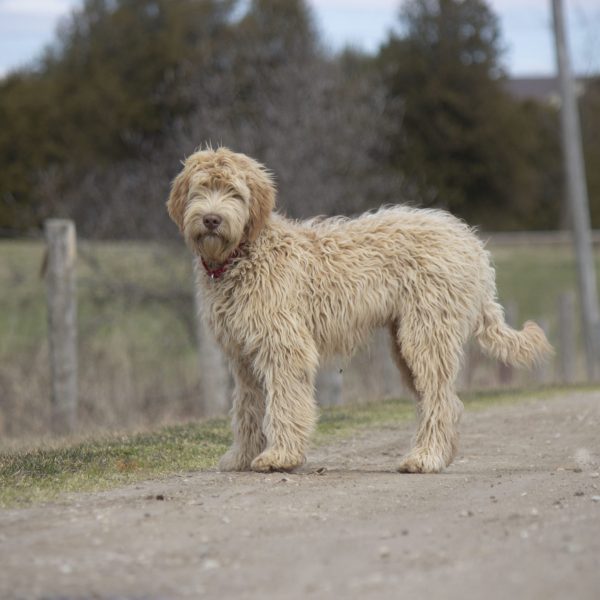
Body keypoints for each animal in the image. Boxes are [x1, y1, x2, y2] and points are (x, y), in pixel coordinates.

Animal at [165, 146, 552, 474]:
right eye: (200, 190)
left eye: (234, 192)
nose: (211, 219)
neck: (246, 253)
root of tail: (471, 242)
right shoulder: (242, 356)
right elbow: (247, 407)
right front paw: (242, 457)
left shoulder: (284, 346)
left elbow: (285, 401)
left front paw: (280, 456)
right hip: (406, 343)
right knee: (445, 401)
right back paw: (437, 454)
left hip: (426, 334)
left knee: (441, 399)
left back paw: (425, 457)